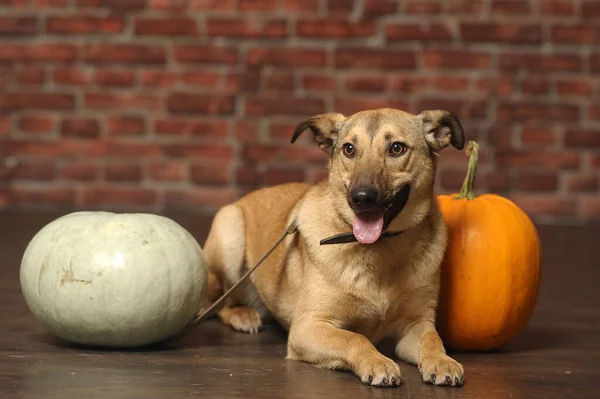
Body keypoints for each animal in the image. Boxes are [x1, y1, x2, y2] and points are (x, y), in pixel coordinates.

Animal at [204, 108, 466, 390]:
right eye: (349, 149)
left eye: (397, 148)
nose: (362, 197)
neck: (379, 249)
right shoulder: (308, 327)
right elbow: (354, 338)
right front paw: (377, 362)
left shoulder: (417, 323)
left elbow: (432, 339)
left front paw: (441, 361)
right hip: (230, 233)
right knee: (220, 303)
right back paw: (243, 315)